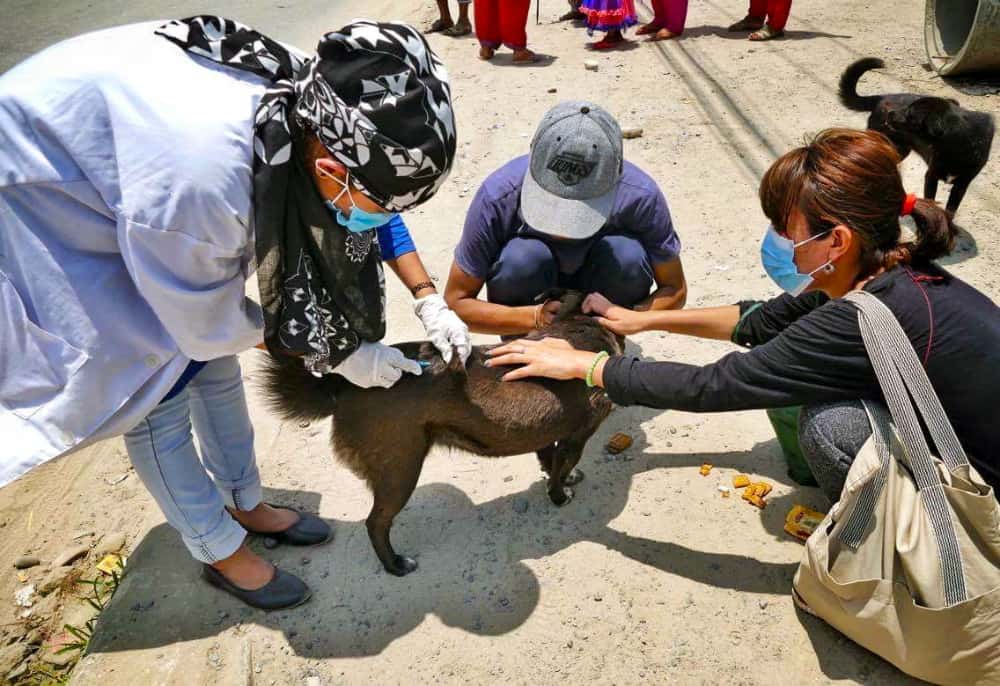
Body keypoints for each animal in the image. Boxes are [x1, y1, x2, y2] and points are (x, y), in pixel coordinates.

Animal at [264, 292, 624, 576]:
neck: (580, 328)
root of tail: (344, 386)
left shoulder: (546, 434)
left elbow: (550, 461)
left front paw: (560, 477)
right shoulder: (578, 436)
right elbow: (559, 472)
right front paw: (560, 495)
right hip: (400, 471)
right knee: (376, 523)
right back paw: (396, 565)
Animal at [836, 58, 992, 215]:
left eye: (910, 115)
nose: (890, 113)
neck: (961, 143)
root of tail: (883, 97)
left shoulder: (961, 185)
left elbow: (951, 210)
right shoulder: (931, 176)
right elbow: (931, 200)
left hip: (900, 150)